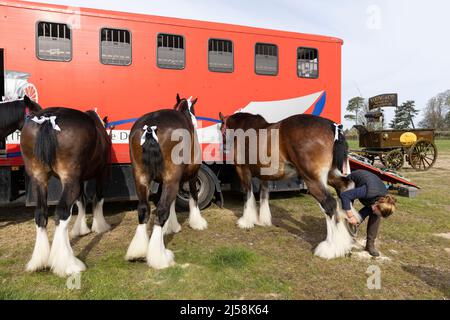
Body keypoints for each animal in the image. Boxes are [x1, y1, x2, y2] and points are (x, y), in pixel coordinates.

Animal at [20, 106, 112, 276]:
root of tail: (48, 119)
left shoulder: (79, 178)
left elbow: (81, 200)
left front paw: (81, 229)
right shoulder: (101, 172)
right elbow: (98, 198)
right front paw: (100, 226)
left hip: (39, 178)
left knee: (40, 214)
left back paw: (39, 262)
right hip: (70, 178)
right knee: (62, 213)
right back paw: (68, 264)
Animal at [125, 94, 208, 268]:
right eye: (193, 109)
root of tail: (150, 128)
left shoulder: (164, 181)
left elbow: (171, 203)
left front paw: (171, 226)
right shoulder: (191, 176)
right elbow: (193, 197)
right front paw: (197, 222)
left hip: (141, 177)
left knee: (143, 209)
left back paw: (138, 252)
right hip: (172, 179)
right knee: (161, 210)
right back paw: (160, 257)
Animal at [220, 111, 356, 258]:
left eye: (221, 128)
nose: (223, 147)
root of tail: (333, 127)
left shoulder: (243, 170)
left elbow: (248, 195)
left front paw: (246, 221)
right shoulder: (264, 175)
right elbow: (263, 195)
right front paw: (263, 221)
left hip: (312, 179)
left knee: (329, 204)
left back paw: (330, 248)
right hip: (331, 176)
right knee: (345, 188)